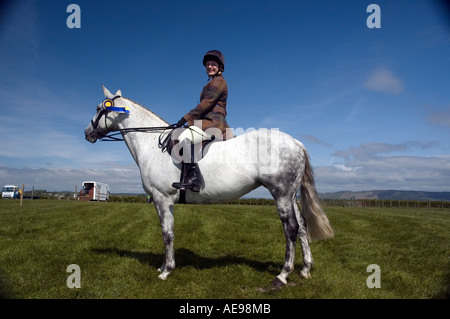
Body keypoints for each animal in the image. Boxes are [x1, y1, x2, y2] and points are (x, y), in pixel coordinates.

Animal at [84, 85, 332, 288]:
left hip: (280, 194)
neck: (153, 144)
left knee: (290, 229)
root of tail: (296, 143)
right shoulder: (161, 200)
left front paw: (166, 271)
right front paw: (163, 266)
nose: (87, 133)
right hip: (290, 195)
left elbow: (167, 233)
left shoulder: (162, 198)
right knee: (302, 227)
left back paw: (282, 276)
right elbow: (167, 233)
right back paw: (305, 269)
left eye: (98, 108)